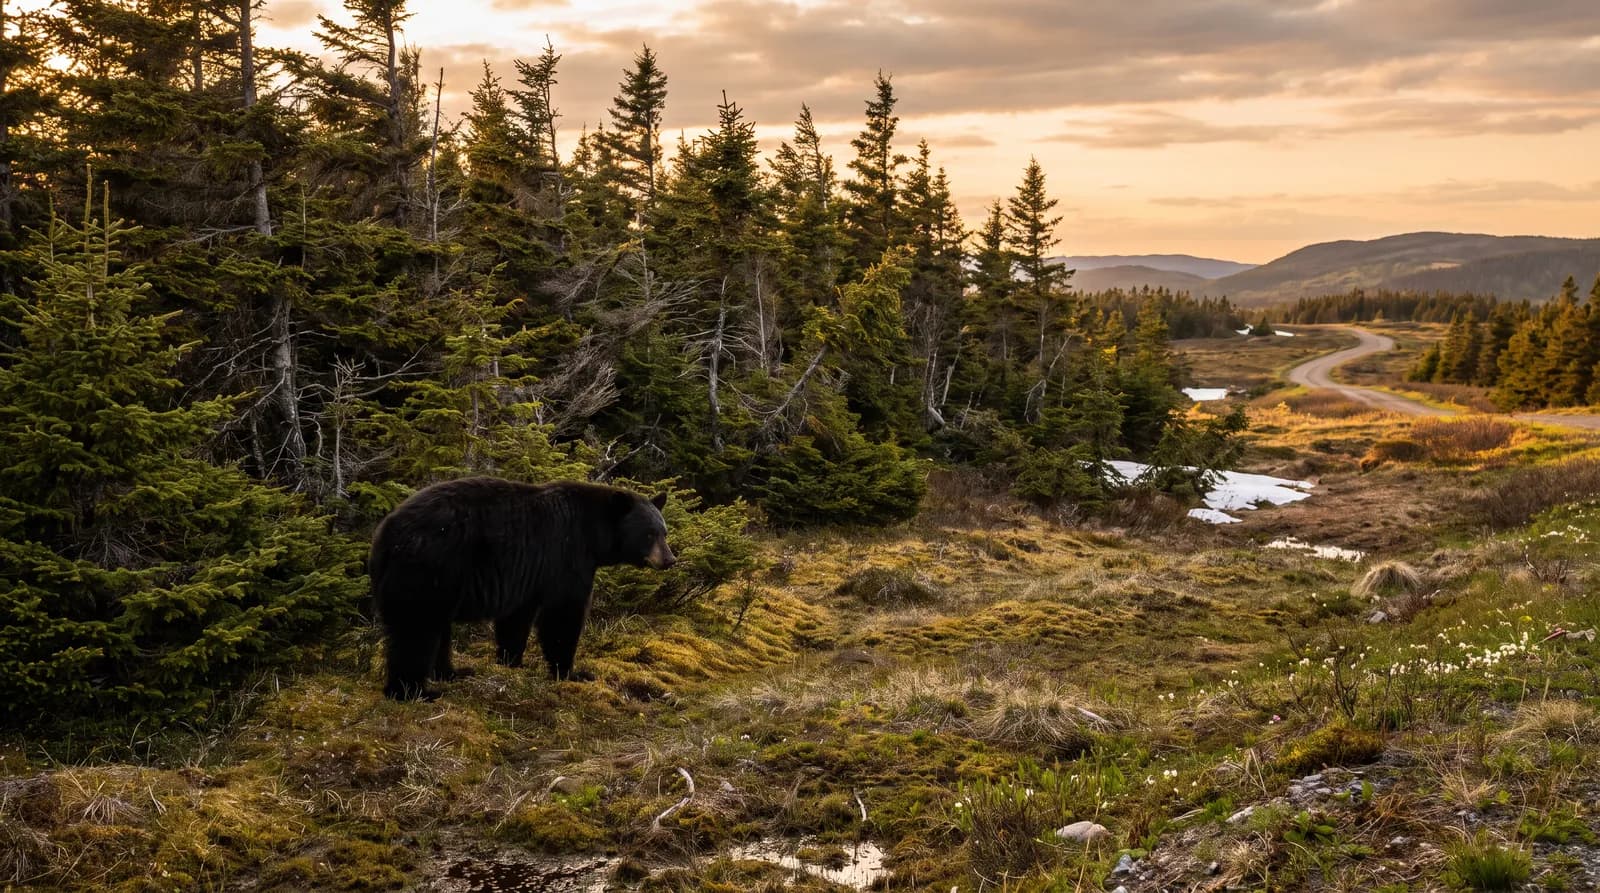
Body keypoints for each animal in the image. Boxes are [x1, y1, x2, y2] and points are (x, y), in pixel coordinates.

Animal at [369, 477, 676, 700]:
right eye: (649, 533)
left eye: (664, 532)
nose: (670, 559)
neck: (592, 535)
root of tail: (385, 536)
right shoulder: (566, 556)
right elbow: (563, 614)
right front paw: (572, 672)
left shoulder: (526, 574)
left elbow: (517, 618)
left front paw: (512, 660)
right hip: (431, 568)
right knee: (416, 630)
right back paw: (414, 692)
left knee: (437, 629)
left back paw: (452, 672)